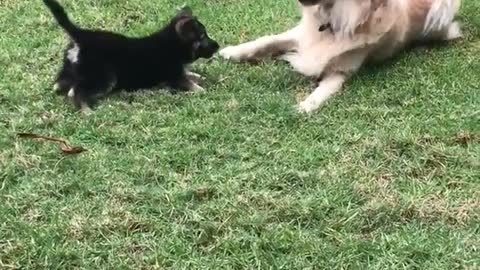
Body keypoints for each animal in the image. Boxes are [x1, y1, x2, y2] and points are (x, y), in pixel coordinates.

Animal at [43, 0, 219, 112]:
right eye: (202, 37)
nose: (217, 45)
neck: (173, 44)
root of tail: (82, 36)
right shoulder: (174, 77)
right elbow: (191, 84)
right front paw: (203, 90)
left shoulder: (181, 72)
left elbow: (193, 75)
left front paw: (205, 78)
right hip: (104, 77)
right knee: (78, 92)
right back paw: (87, 111)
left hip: (71, 68)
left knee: (60, 84)